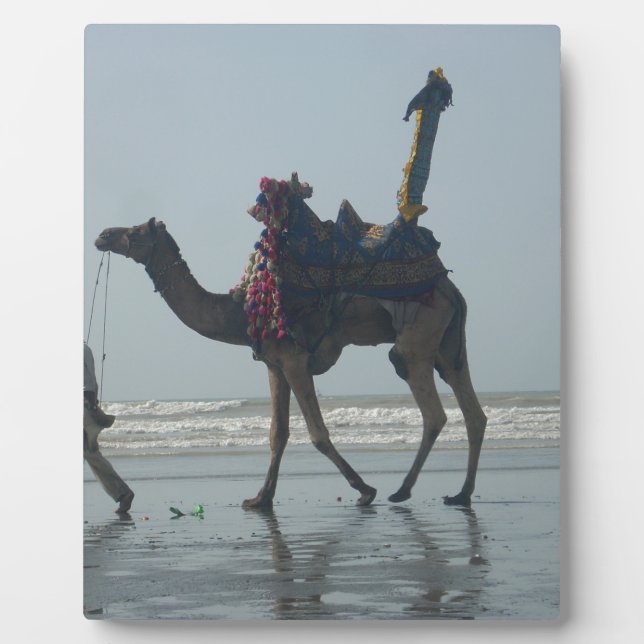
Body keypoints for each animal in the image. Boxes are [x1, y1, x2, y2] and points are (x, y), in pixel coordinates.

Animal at [95, 202, 487, 509]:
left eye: (134, 230)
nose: (102, 235)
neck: (241, 312)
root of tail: (450, 287)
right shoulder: (273, 364)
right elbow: (277, 433)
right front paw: (260, 498)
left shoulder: (295, 359)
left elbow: (317, 432)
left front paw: (364, 489)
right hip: (448, 341)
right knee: (472, 410)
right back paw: (462, 493)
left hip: (419, 334)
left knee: (430, 406)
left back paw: (402, 490)